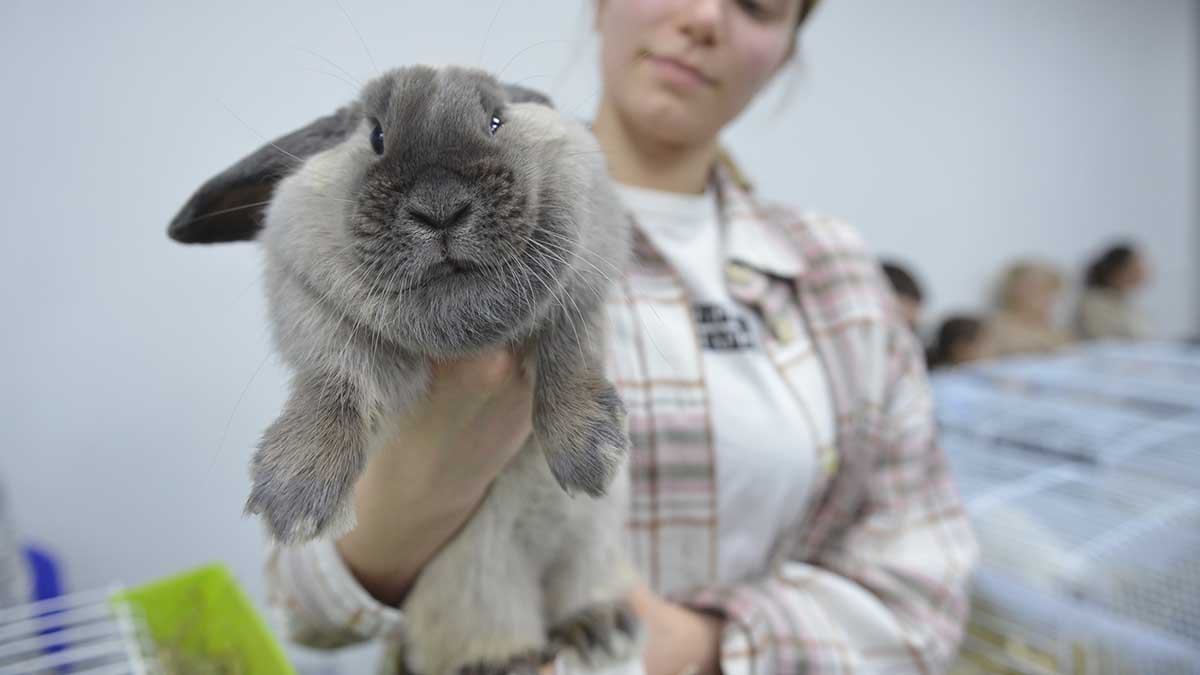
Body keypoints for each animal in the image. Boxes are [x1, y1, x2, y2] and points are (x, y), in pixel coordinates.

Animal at [166, 64, 648, 672]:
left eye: (496, 120)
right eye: (375, 135)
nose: (441, 209)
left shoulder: (588, 275)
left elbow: (569, 347)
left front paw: (590, 459)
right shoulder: (315, 316)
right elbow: (332, 387)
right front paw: (294, 499)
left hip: (592, 550)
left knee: (583, 591)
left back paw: (602, 628)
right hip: (475, 580)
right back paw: (504, 660)